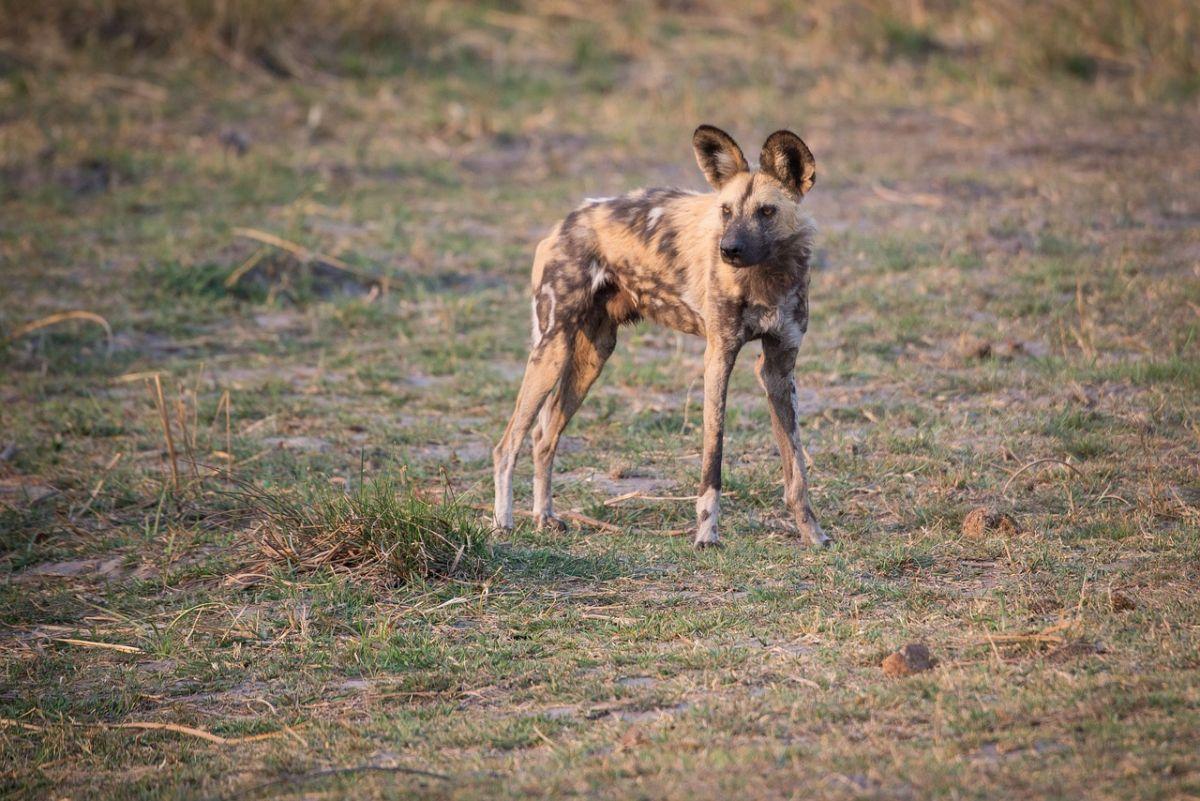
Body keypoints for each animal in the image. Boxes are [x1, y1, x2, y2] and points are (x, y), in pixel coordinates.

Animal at [492, 125, 830, 546]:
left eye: (766, 212)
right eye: (726, 211)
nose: (728, 250)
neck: (767, 277)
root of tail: (567, 221)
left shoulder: (779, 368)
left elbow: (796, 468)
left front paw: (812, 534)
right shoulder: (719, 358)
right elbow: (713, 459)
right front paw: (706, 535)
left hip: (592, 356)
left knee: (543, 437)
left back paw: (544, 516)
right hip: (550, 351)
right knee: (507, 445)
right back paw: (503, 523)